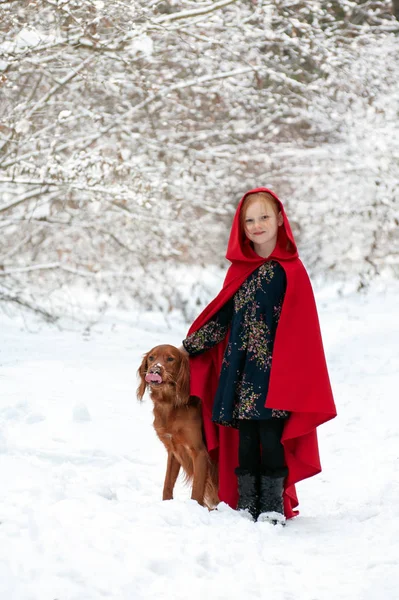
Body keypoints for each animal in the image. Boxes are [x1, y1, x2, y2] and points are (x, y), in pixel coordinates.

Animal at [137, 344, 219, 508]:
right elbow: (167, 484)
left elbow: (197, 492)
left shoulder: (199, 452)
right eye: (151, 357)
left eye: (170, 358)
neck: (169, 404)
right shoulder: (173, 451)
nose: (154, 371)